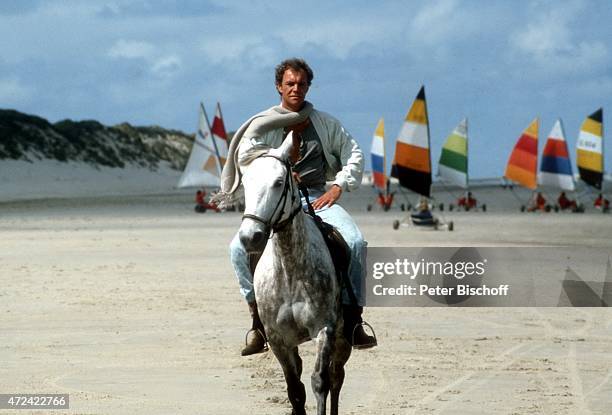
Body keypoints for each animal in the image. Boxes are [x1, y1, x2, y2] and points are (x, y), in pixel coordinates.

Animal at [240, 133, 354, 415]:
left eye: (279, 182)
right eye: (246, 184)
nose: (250, 237)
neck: (290, 269)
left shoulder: (324, 330)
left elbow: (320, 383)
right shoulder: (278, 340)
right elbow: (295, 390)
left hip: (343, 340)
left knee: (337, 378)